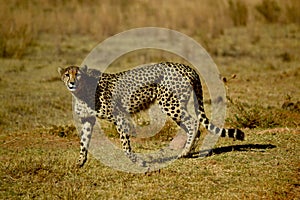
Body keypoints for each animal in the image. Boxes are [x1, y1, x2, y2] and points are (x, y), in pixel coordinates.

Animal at [58, 62, 244, 167]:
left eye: (78, 74)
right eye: (67, 74)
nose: (72, 82)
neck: (81, 92)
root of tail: (186, 67)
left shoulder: (120, 117)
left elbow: (125, 146)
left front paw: (139, 162)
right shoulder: (87, 120)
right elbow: (84, 142)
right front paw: (80, 162)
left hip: (170, 104)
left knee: (193, 123)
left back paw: (185, 152)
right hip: (174, 105)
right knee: (192, 126)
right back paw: (188, 151)